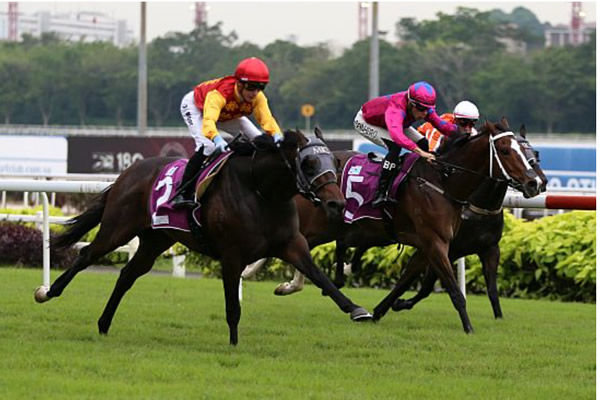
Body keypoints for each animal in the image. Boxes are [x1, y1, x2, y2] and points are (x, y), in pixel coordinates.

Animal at [34, 130, 370, 344]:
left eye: (335, 162)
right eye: (309, 163)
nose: (336, 203)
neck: (261, 190)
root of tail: (128, 173)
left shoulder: (291, 244)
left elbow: (320, 277)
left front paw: (357, 310)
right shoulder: (232, 255)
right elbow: (233, 305)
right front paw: (234, 344)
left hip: (156, 239)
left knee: (128, 274)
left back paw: (104, 324)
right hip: (118, 227)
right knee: (86, 255)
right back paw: (48, 292)